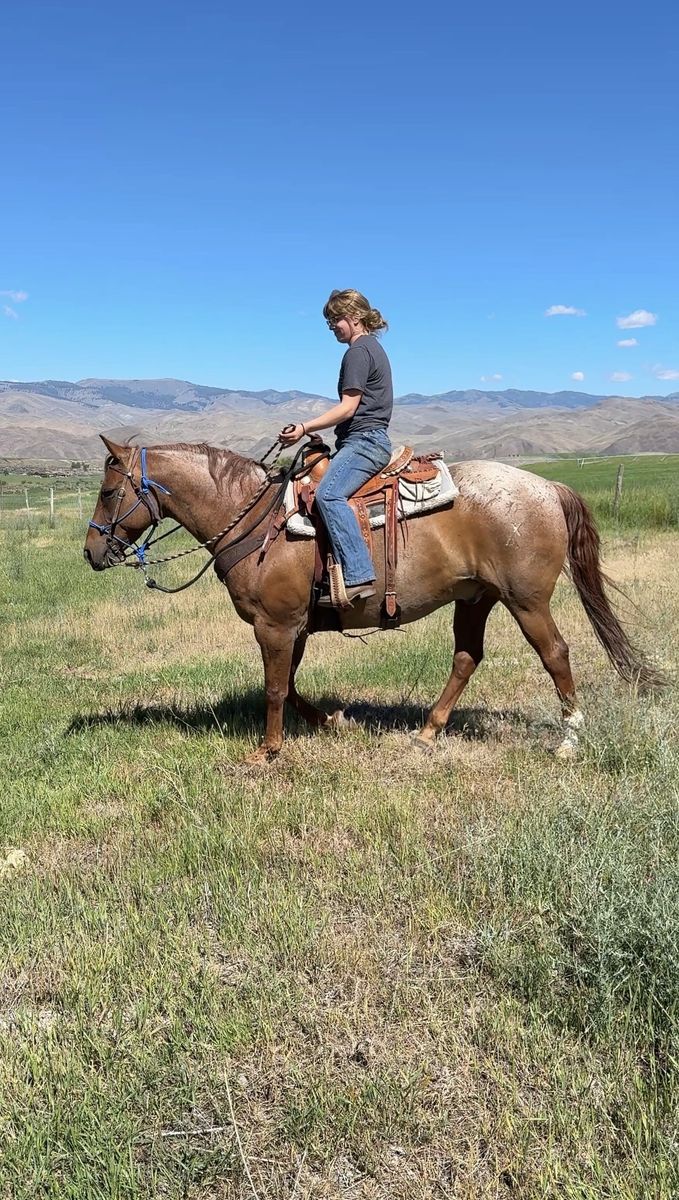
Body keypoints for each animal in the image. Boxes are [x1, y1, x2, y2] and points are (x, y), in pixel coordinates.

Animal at [83, 436, 661, 764]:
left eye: (109, 492)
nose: (91, 551)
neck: (257, 521)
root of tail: (546, 487)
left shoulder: (275, 625)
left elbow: (275, 688)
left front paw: (268, 752)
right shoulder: (294, 626)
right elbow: (292, 686)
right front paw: (331, 722)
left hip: (527, 601)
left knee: (555, 654)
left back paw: (567, 740)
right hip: (476, 598)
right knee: (467, 657)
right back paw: (427, 733)